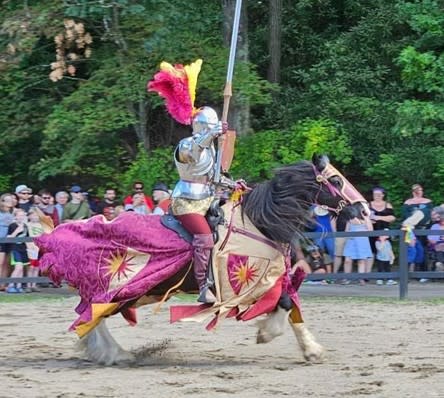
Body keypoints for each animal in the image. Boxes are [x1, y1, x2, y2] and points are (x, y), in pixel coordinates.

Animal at [34, 154, 370, 366]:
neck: (258, 221)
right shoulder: (248, 285)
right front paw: (267, 333)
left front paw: (311, 351)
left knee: (91, 319)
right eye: (336, 180)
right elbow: (285, 305)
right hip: (111, 288)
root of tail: (56, 234)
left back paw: (110, 353)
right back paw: (113, 354)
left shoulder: (272, 279)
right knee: (91, 319)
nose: (364, 209)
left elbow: (291, 306)